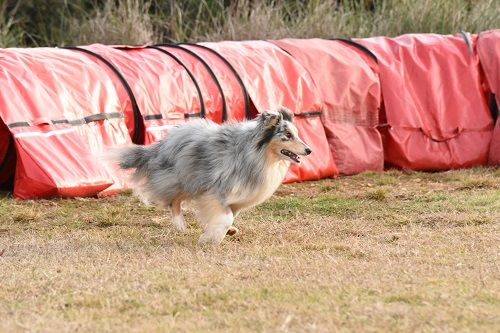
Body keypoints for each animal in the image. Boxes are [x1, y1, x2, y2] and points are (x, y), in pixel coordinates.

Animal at [117, 107, 312, 243]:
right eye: (288, 135)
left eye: (296, 134)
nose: (309, 150)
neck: (260, 155)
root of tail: (162, 143)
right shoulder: (216, 191)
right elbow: (225, 218)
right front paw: (210, 238)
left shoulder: (237, 198)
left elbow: (230, 216)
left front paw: (228, 231)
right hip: (184, 178)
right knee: (172, 200)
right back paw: (180, 224)